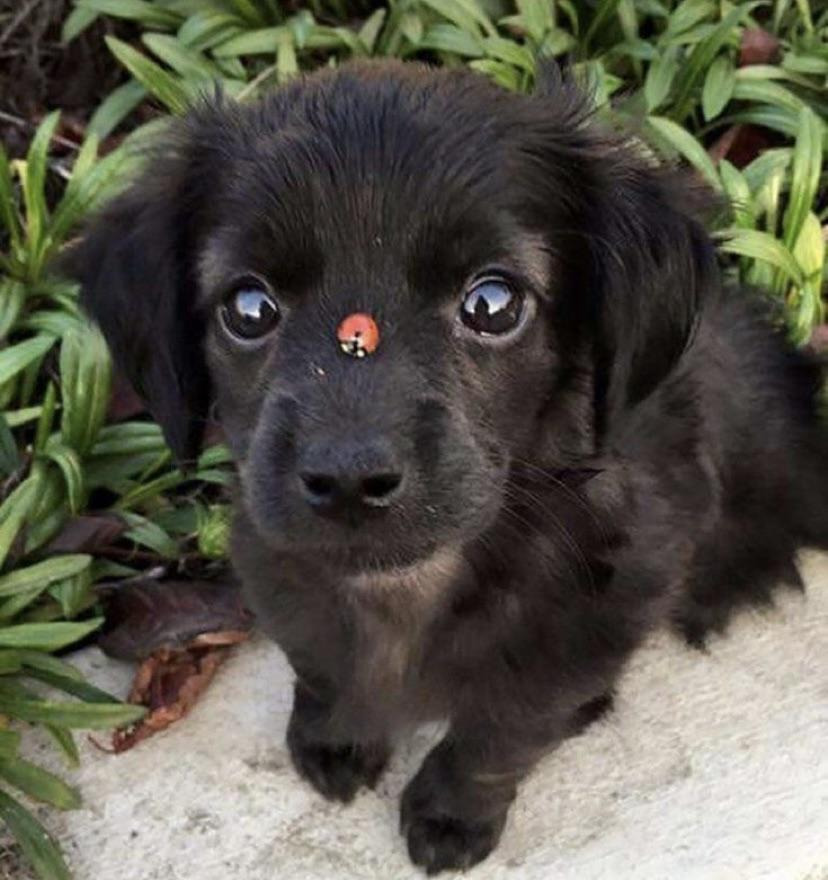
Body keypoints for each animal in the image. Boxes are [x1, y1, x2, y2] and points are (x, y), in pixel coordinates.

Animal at [63, 60, 828, 874]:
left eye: (492, 303)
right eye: (248, 308)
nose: (349, 478)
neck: (412, 584)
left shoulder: (592, 617)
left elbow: (503, 729)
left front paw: (451, 814)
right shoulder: (279, 568)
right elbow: (322, 662)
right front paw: (334, 737)